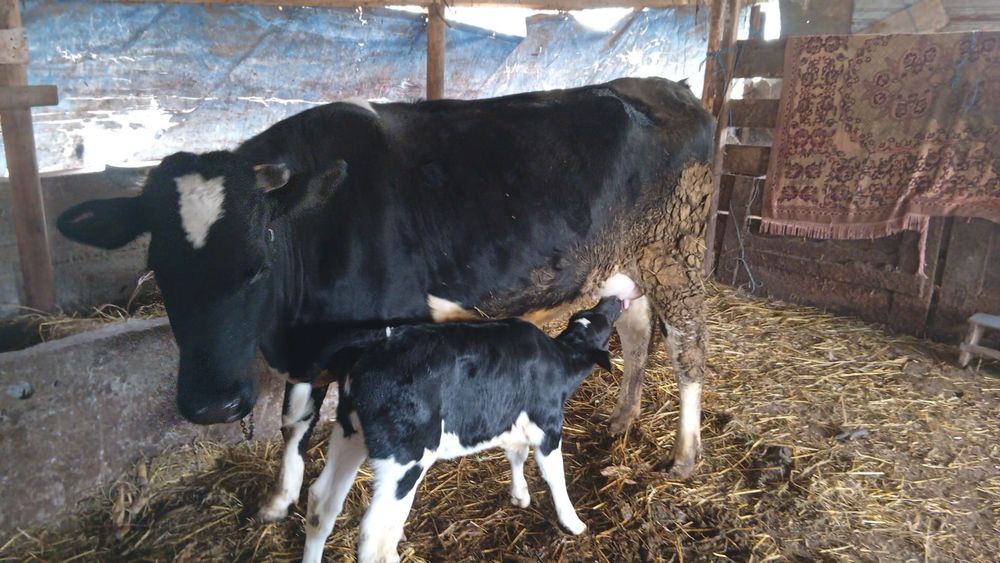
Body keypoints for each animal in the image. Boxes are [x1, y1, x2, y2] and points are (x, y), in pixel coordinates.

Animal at [55, 77, 716, 523]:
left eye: (257, 266)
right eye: (158, 269)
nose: (213, 405)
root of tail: (669, 87)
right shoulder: (311, 342)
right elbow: (294, 421)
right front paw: (277, 499)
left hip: (679, 252)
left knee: (686, 348)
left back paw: (685, 455)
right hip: (625, 266)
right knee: (636, 334)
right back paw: (622, 419)